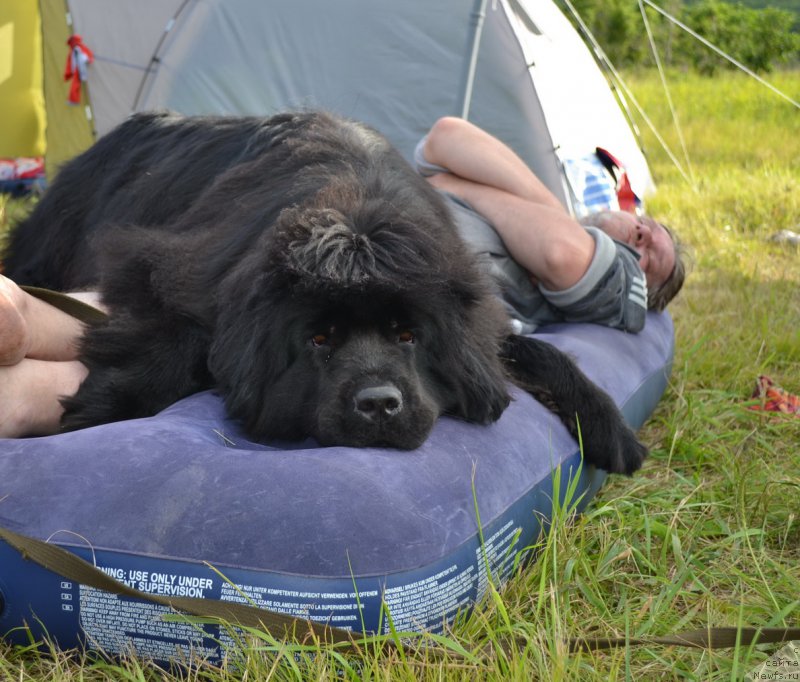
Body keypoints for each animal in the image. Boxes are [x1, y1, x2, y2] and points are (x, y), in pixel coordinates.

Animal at [3, 110, 648, 472]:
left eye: (408, 335)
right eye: (318, 340)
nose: (379, 404)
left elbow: (532, 351)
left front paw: (608, 424)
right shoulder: (159, 262)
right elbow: (177, 334)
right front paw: (102, 408)